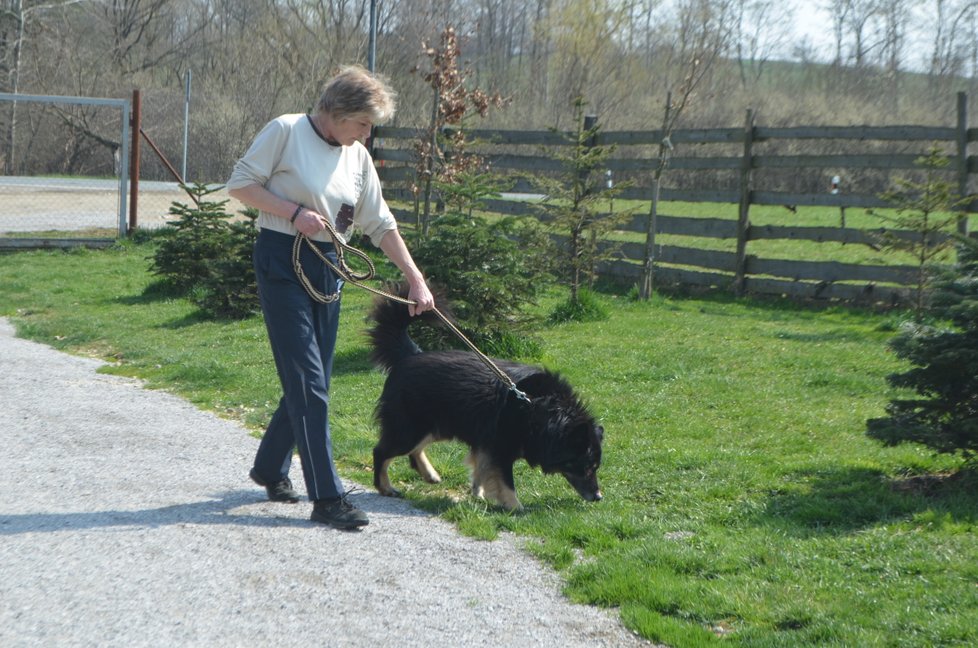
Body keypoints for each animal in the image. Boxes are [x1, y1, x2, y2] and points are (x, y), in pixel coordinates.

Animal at [364, 294, 600, 512]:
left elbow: (482, 468)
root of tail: (409, 356)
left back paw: (429, 474)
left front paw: (478, 493)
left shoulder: (486, 443)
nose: (599, 497)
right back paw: (385, 487)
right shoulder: (500, 447)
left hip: (436, 425)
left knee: (415, 450)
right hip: (410, 426)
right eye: (588, 467)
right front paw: (515, 508)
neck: (540, 409)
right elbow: (505, 482)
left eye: (595, 467)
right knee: (381, 451)